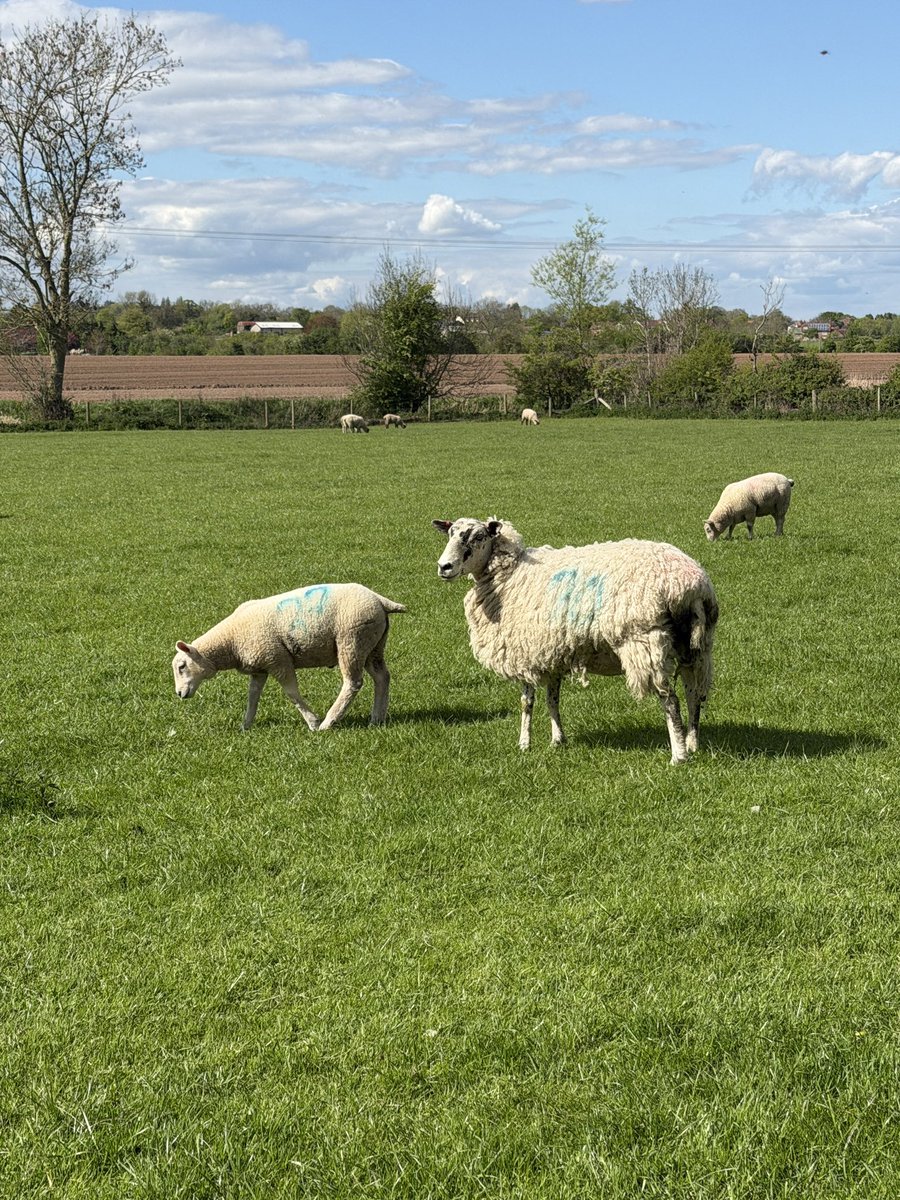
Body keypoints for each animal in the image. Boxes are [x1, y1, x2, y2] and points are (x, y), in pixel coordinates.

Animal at [172, 583, 406, 731]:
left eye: (182, 666)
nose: (179, 694)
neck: (231, 640)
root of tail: (380, 600)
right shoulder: (259, 668)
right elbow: (252, 696)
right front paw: (246, 725)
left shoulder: (278, 660)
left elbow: (292, 693)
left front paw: (312, 722)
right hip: (373, 645)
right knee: (382, 677)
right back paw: (377, 719)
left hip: (352, 641)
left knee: (353, 683)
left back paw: (328, 722)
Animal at [432, 518, 718, 764]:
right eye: (449, 533)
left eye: (478, 537)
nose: (444, 567)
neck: (509, 574)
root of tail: (690, 585)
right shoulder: (550, 652)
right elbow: (552, 698)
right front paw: (558, 740)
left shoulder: (523, 652)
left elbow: (527, 703)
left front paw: (524, 744)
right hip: (695, 645)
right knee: (694, 695)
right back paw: (692, 743)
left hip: (646, 640)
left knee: (670, 699)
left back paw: (678, 756)